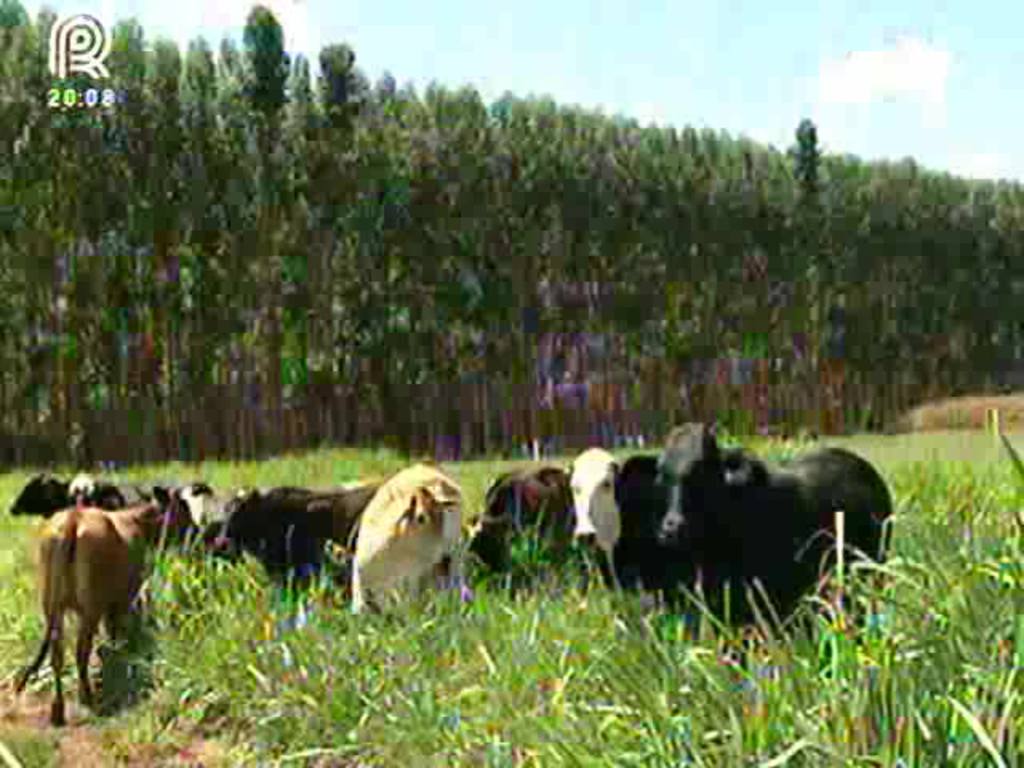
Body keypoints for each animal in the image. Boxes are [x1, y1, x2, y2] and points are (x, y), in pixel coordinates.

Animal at [14, 493, 194, 729]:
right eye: (183, 511)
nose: (195, 532)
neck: (136, 520)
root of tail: (74, 517)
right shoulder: (122, 600)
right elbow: (114, 634)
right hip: (91, 607)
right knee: (81, 650)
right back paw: (87, 697)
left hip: (52, 606)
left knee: (57, 652)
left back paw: (58, 710)